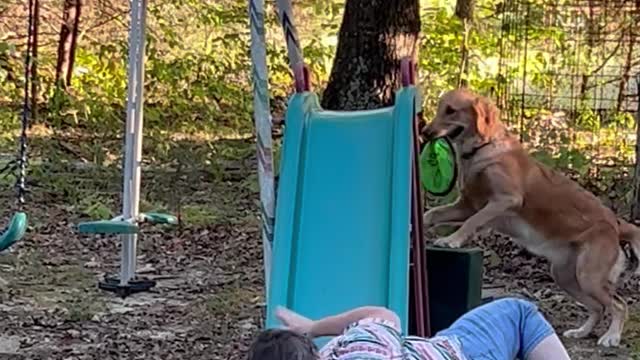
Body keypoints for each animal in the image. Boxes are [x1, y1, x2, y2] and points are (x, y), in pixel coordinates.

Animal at [422, 86, 640, 346]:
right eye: (439, 109)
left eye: (451, 111)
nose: (424, 133)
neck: (483, 148)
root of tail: (615, 223)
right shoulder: (466, 205)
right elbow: (432, 213)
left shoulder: (505, 200)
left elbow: (471, 222)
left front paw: (451, 240)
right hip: (566, 277)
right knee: (597, 308)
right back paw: (581, 332)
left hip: (589, 276)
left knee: (618, 305)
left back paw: (611, 337)